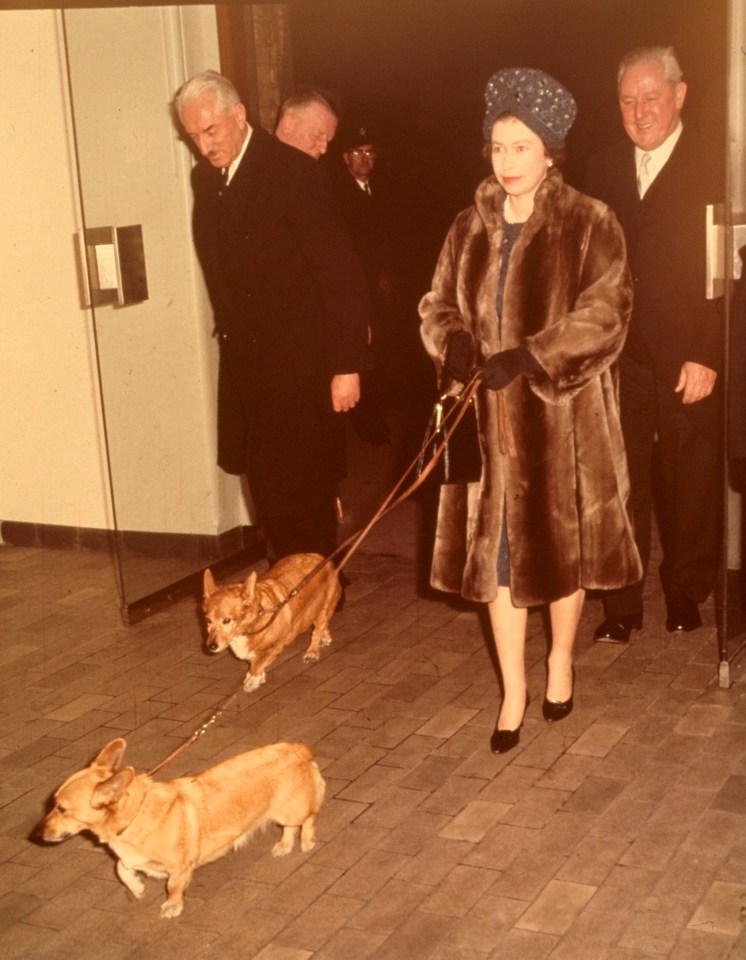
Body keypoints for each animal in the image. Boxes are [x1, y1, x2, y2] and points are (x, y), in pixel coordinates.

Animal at [35, 740, 324, 920]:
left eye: (62, 809)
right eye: (53, 803)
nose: (37, 834)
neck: (134, 815)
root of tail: (299, 749)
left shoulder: (178, 868)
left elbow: (173, 888)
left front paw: (171, 907)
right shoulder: (130, 859)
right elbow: (121, 868)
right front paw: (137, 888)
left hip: (291, 809)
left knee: (308, 818)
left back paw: (306, 841)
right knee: (289, 829)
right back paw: (284, 845)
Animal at [205, 552, 342, 692]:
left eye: (226, 620)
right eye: (208, 620)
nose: (211, 646)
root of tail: (320, 557)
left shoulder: (273, 647)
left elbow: (257, 664)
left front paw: (252, 680)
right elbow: (255, 662)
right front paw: (259, 677)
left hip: (324, 607)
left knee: (318, 629)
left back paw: (312, 652)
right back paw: (325, 638)